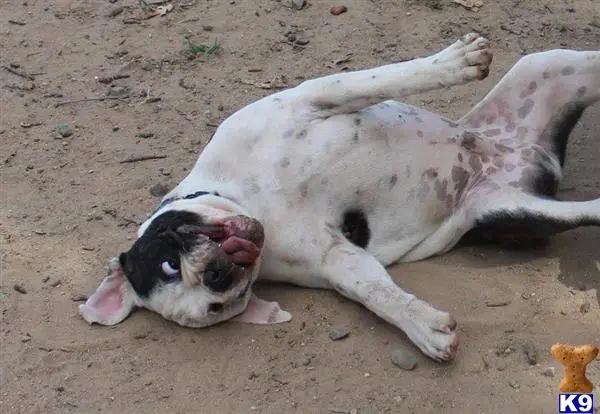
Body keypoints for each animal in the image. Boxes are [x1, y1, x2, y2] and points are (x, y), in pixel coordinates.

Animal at [79, 34, 600, 360]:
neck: (253, 198)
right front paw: (422, 326)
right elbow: (375, 292)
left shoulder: (318, 96)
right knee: (584, 211)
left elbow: (385, 77)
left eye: (169, 261)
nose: (217, 275)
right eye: (216, 307)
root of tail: (529, 155)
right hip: (513, 210)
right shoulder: (336, 259)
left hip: (551, 64)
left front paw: (455, 62)